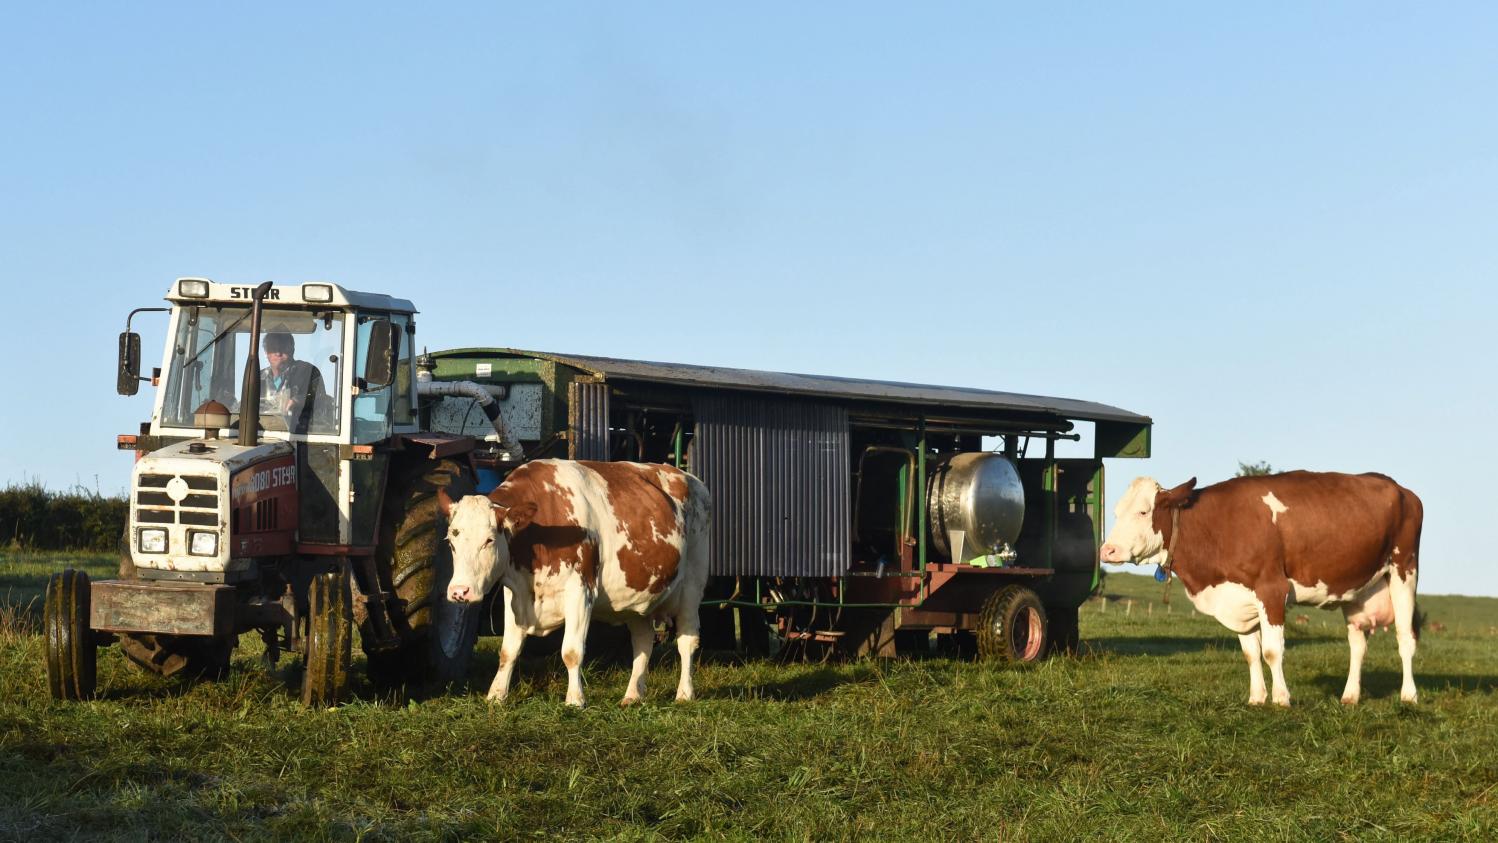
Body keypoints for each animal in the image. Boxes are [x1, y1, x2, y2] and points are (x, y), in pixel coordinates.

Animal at [437, 458, 710, 709]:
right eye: (451, 541)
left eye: (489, 540)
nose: (460, 591)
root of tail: (689, 477)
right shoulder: (514, 594)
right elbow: (508, 650)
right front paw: (496, 695)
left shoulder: (580, 592)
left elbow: (571, 651)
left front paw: (575, 699)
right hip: (638, 597)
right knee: (642, 642)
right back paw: (633, 695)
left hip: (692, 586)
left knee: (687, 640)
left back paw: (684, 693)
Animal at [1102, 473, 1426, 709]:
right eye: (1116, 512)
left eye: (1143, 511)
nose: (1108, 550)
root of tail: (1400, 488)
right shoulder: (1238, 599)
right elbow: (1251, 653)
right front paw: (1257, 698)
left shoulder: (1271, 589)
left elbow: (1271, 650)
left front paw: (1281, 699)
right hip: (1358, 590)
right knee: (1358, 644)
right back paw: (1350, 696)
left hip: (1404, 571)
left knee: (1405, 638)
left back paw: (1409, 695)